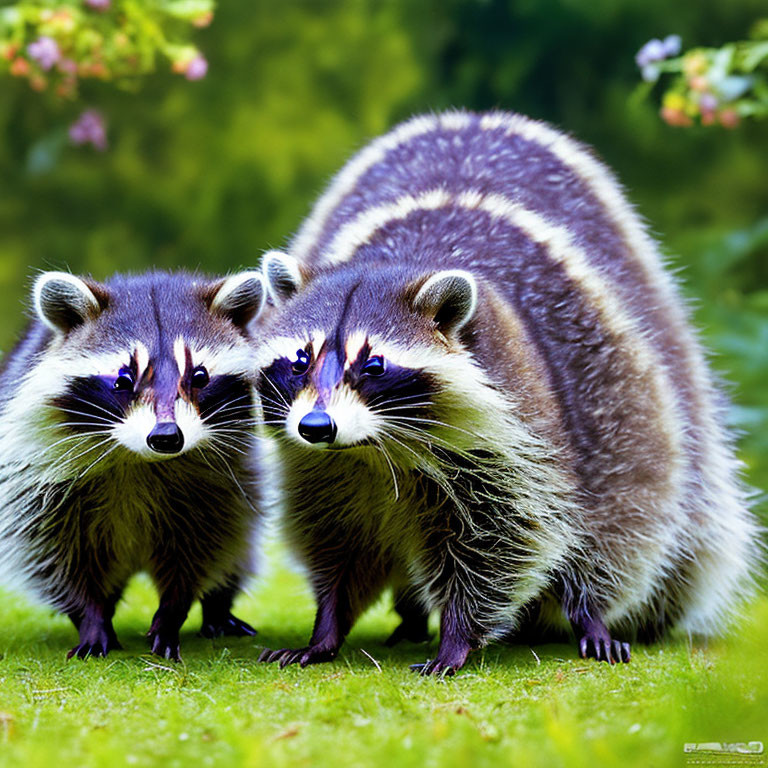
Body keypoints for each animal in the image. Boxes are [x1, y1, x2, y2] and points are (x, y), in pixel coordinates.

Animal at [0, 270, 268, 660]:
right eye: (124, 380)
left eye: (200, 377)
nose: (167, 436)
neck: (140, 458)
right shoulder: (37, 482)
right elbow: (58, 557)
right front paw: (90, 617)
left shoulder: (222, 486)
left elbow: (204, 548)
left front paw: (173, 611)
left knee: (237, 551)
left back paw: (218, 608)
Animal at [255, 111, 760, 676]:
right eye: (302, 359)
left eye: (374, 365)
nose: (317, 427)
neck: (380, 449)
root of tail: (470, 115)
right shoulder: (324, 466)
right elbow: (337, 535)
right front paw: (329, 620)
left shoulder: (552, 399)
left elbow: (504, 536)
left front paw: (459, 633)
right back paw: (411, 616)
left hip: (628, 378)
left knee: (631, 504)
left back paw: (588, 610)